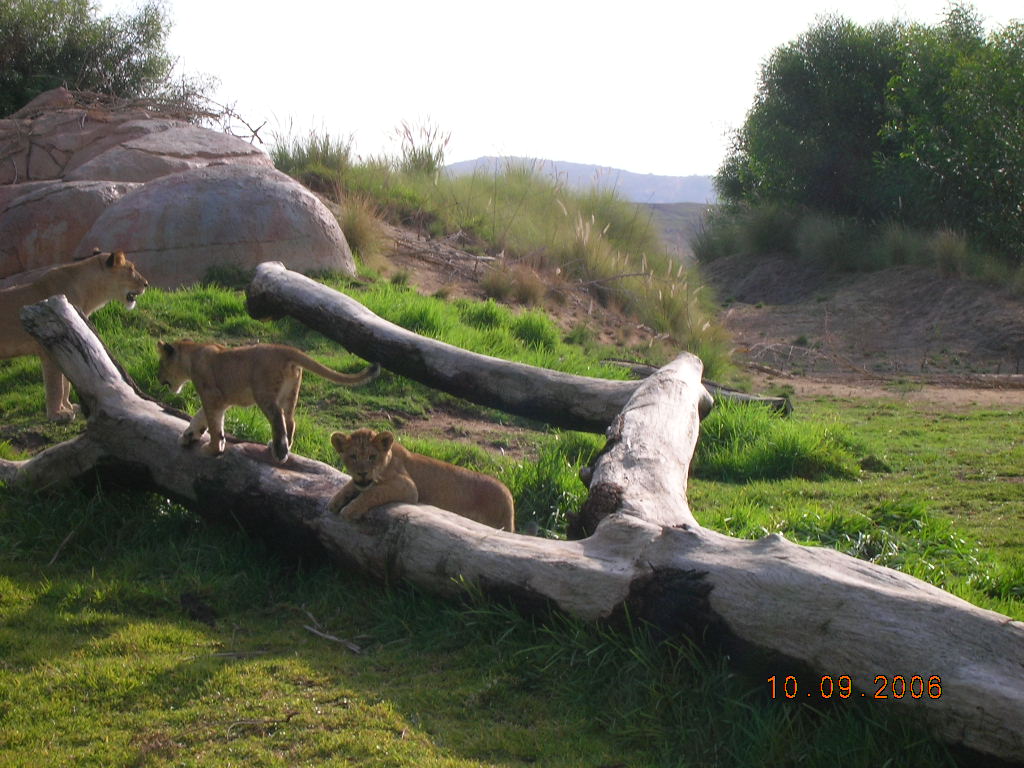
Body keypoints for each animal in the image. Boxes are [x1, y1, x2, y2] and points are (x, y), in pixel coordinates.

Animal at [0, 249, 149, 421]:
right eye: (131, 269)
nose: (146, 284)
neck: (89, 294)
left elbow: (66, 382)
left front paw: (68, 407)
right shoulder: (49, 346)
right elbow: (55, 385)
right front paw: (57, 415)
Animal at [157, 339, 379, 463]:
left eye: (160, 364)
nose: (159, 379)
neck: (193, 354)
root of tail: (284, 349)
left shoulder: (212, 397)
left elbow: (214, 425)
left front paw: (212, 448)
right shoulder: (221, 401)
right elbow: (200, 418)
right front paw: (188, 436)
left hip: (264, 394)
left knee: (278, 420)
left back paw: (280, 452)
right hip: (289, 395)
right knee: (291, 421)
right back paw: (283, 447)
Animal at [327, 428, 515, 531]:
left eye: (372, 457)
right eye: (353, 456)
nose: (362, 473)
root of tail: (508, 495)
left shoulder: (408, 487)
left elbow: (373, 493)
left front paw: (350, 509)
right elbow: (352, 485)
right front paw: (335, 501)